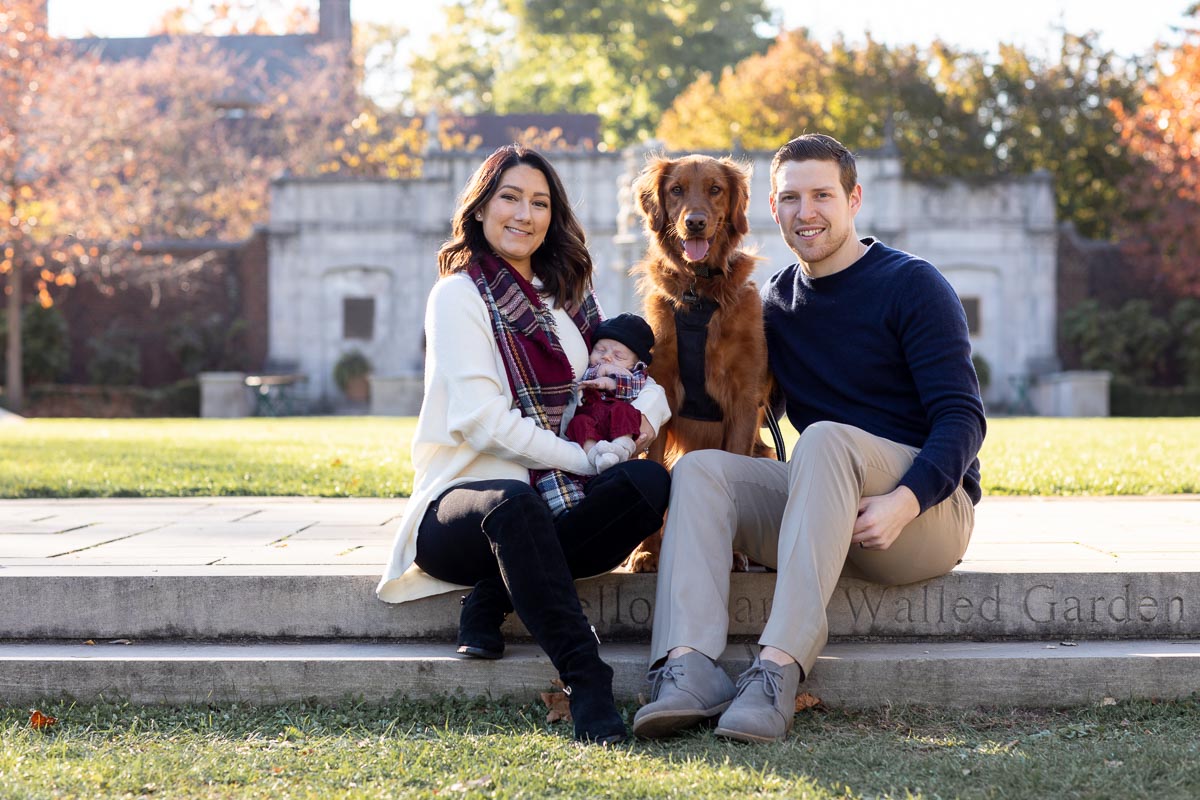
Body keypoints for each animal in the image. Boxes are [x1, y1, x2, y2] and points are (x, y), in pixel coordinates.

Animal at [628, 153, 768, 573]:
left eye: (715, 189)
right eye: (676, 190)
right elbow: (654, 467)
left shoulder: (744, 399)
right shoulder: (661, 388)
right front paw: (646, 552)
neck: (699, 292)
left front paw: (735, 553)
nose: (695, 222)